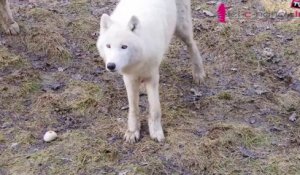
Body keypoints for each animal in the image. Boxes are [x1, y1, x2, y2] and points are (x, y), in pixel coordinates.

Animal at [97, 0, 205, 143]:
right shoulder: (129, 78)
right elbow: (133, 108)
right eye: (108, 46)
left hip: (182, 28)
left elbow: (155, 108)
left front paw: (156, 131)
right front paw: (133, 131)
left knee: (192, 43)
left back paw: (198, 73)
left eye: (124, 47)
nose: (111, 66)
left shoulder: (152, 77)